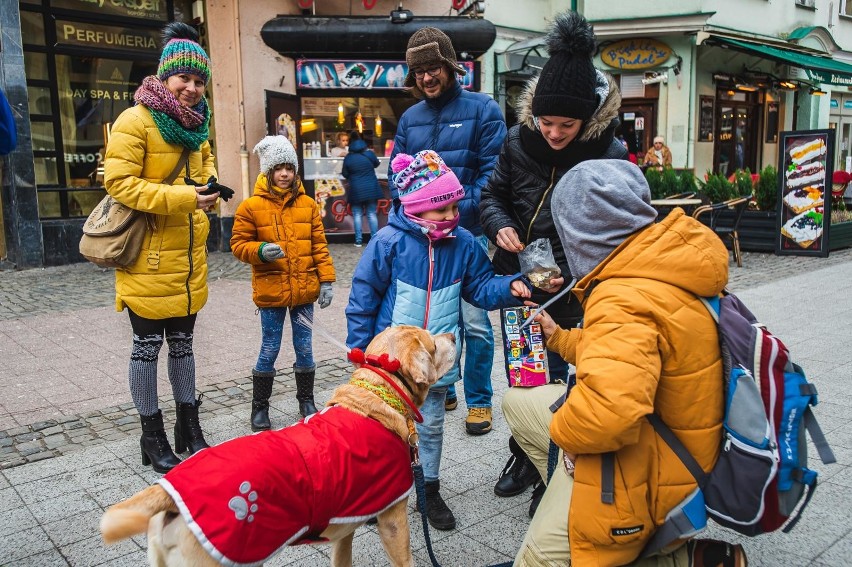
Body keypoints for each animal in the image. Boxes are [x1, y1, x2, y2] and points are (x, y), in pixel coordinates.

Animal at [100, 326, 456, 564]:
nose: (453, 336)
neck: (377, 399)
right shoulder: (393, 521)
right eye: (432, 343)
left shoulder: (345, 531)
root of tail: (168, 489)